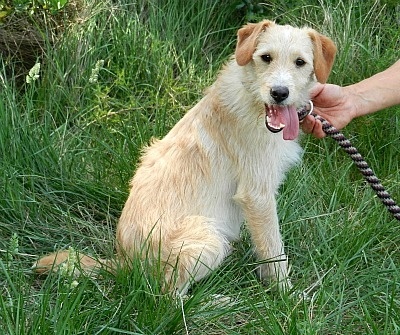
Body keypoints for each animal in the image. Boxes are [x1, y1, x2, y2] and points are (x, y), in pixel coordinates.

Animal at [34, 20, 336, 294]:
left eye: (300, 62)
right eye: (266, 57)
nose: (279, 93)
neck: (252, 99)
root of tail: (124, 262)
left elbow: (265, 247)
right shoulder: (257, 195)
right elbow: (274, 250)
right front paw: (286, 296)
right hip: (210, 240)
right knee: (167, 296)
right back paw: (216, 302)